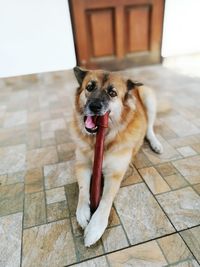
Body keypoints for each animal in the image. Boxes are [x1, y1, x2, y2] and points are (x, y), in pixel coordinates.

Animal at [70, 67, 162, 247]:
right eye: (89, 87)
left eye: (112, 93)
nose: (95, 106)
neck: (102, 139)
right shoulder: (82, 165)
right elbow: (83, 191)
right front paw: (83, 212)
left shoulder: (115, 175)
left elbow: (106, 199)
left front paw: (95, 228)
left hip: (149, 98)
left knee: (149, 128)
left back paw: (155, 144)